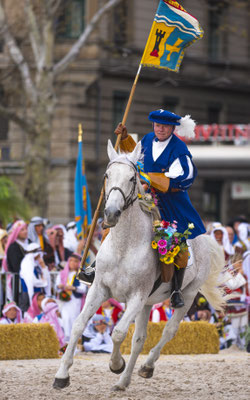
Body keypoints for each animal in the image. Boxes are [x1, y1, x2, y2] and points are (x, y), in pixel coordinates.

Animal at [53, 139, 226, 392]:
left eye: (132, 178)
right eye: (107, 175)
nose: (111, 213)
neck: (124, 247)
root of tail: (204, 236)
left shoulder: (136, 296)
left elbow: (117, 333)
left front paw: (116, 364)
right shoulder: (100, 290)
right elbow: (78, 325)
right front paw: (62, 375)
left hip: (186, 295)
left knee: (168, 331)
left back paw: (146, 366)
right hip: (148, 304)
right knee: (139, 339)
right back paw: (124, 381)